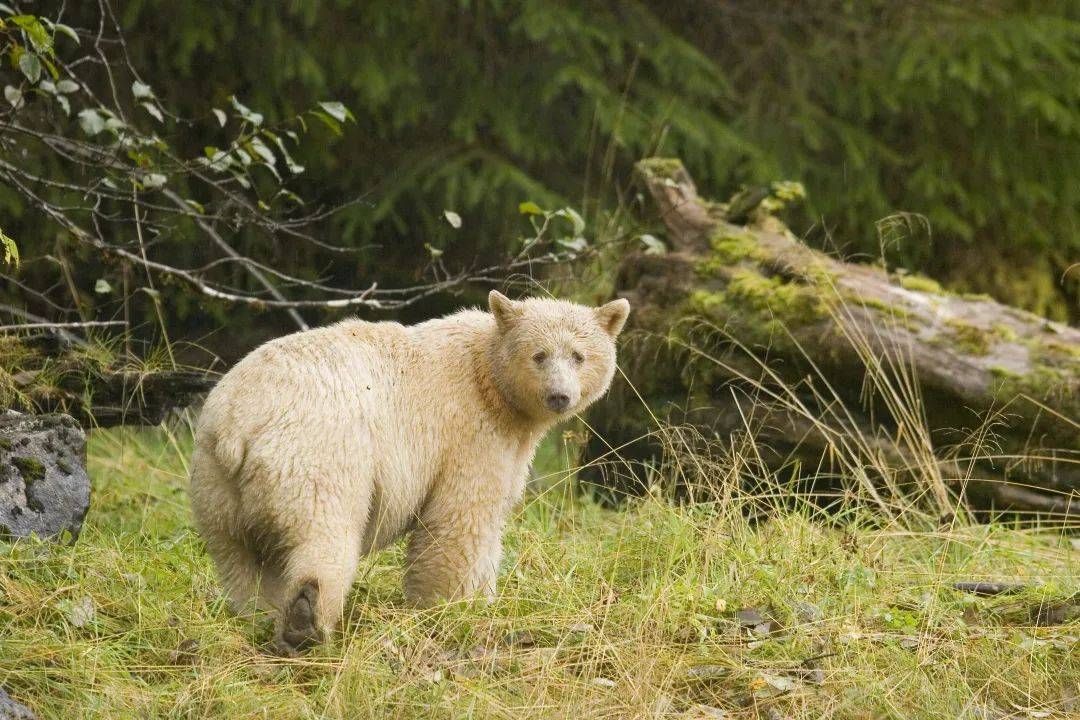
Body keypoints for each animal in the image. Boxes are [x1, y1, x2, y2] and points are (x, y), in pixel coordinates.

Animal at [185, 289, 626, 651]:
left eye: (578, 356)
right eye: (539, 355)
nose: (559, 396)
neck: (489, 379)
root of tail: (237, 423)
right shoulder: (468, 432)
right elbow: (460, 521)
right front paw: (455, 608)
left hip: (214, 484)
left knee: (241, 561)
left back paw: (263, 617)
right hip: (318, 454)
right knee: (323, 536)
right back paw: (307, 622)